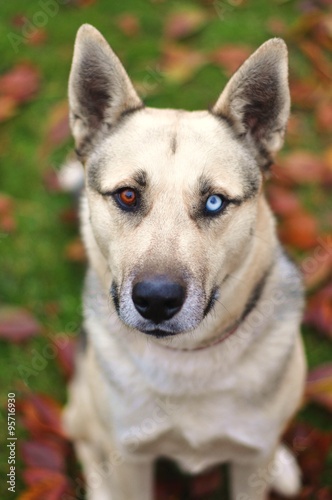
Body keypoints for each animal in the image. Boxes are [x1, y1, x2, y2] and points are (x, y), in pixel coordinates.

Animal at [62, 25, 306, 500]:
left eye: (214, 202)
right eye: (127, 195)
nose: (157, 301)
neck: (187, 359)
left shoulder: (249, 459)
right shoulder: (130, 458)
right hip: (82, 410)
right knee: (83, 441)